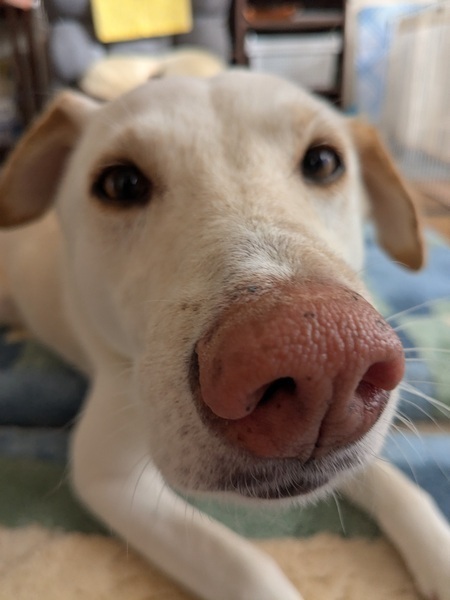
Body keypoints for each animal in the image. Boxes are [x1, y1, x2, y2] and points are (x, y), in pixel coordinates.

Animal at [0, 71, 449, 600]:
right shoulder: (107, 476)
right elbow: (245, 565)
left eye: (323, 161)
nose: (322, 360)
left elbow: (400, 487)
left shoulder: (356, 455)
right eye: (120, 183)